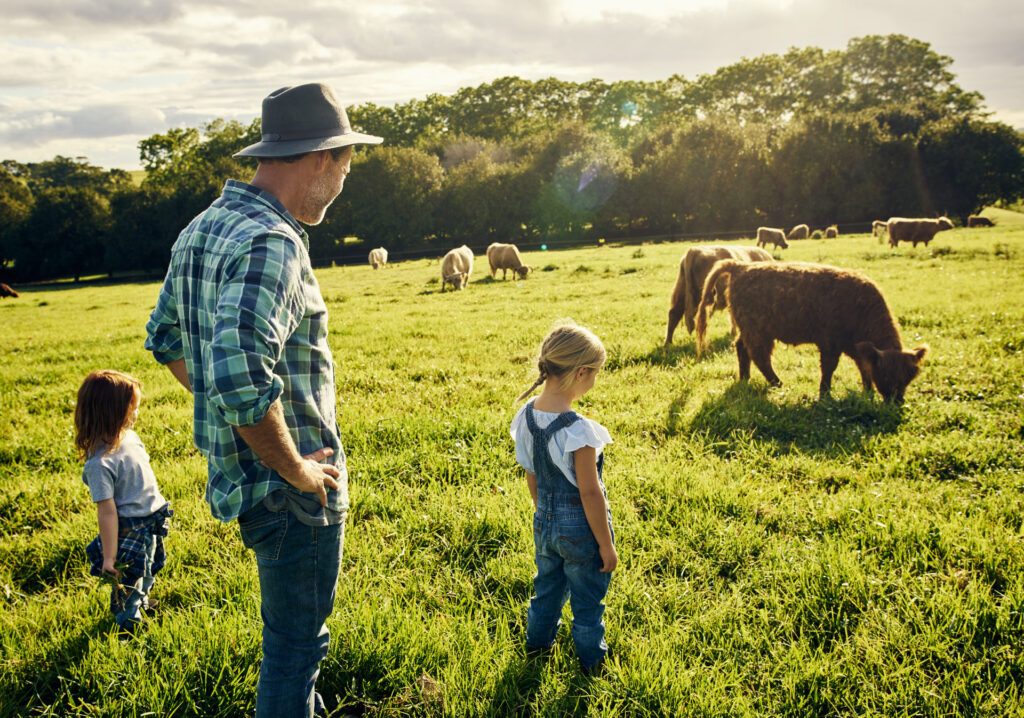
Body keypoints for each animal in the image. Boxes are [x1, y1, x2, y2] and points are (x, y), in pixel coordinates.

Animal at [696, 260, 929, 401]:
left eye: (909, 376)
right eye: (887, 374)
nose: (897, 402)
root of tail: (741, 266)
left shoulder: (855, 348)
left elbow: (864, 368)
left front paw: (867, 392)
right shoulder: (830, 343)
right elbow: (829, 368)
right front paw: (825, 395)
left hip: (750, 329)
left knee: (741, 348)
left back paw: (745, 379)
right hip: (758, 330)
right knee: (759, 356)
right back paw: (778, 384)